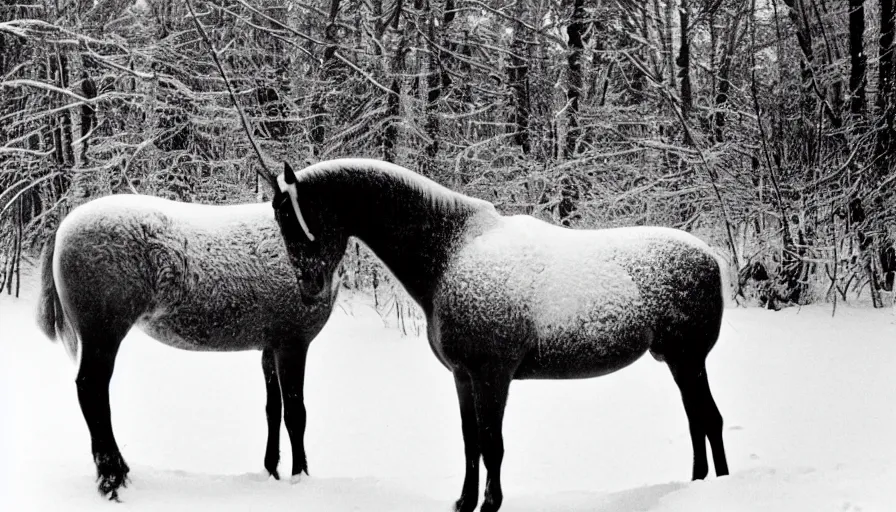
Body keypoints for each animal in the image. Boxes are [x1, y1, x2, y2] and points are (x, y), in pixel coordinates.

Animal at [35, 194, 340, 502]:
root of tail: (64, 226)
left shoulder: (271, 347)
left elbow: (273, 411)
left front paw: (271, 470)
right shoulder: (293, 344)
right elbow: (295, 414)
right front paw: (300, 476)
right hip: (103, 334)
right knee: (92, 390)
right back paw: (112, 477)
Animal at [270, 160, 732, 512]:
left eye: (298, 217)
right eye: (279, 219)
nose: (309, 287)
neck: (451, 253)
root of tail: (710, 258)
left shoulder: (492, 375)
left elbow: (492, 443)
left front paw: (491, 503)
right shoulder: (463, 377)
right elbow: (471, 441)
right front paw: (465, 502)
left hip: (689, 360)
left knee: (709, 419)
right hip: (679, 362)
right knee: (698, 421)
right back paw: (698, 485)